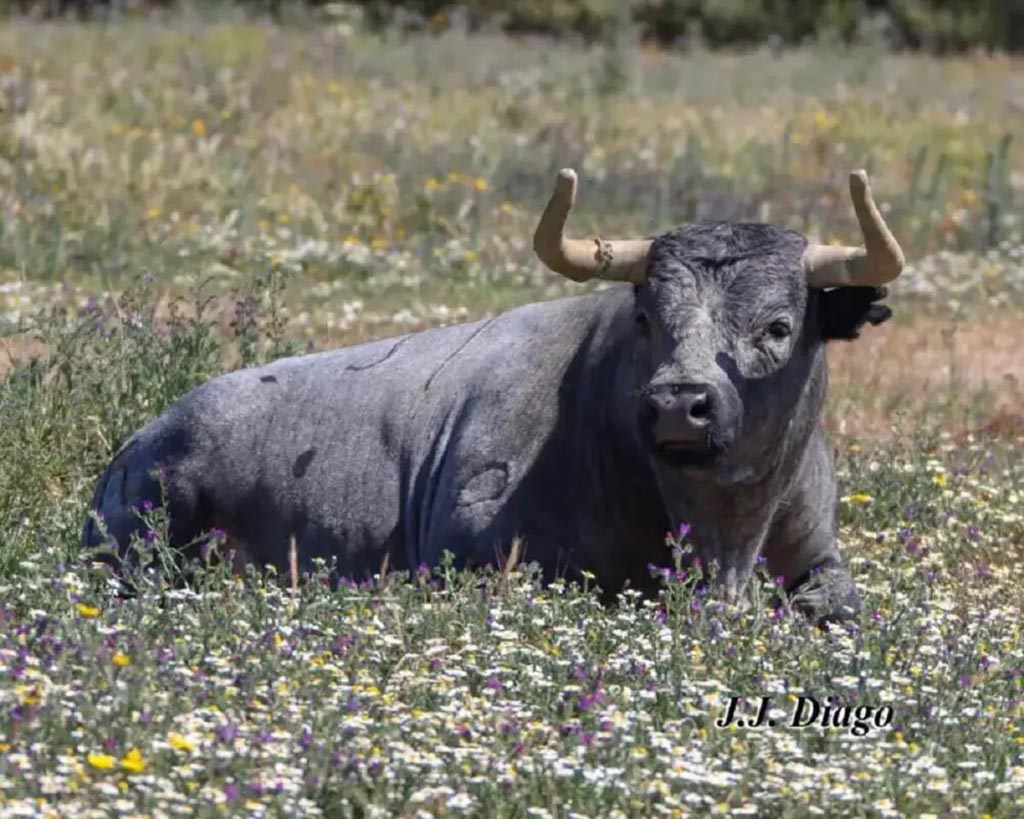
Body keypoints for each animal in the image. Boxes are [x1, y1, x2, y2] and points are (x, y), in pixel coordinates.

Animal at [86, 169, 905, 622]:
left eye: (778, 325)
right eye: (647, 317)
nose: (678, 402)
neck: (721, 533)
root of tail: (138, 443)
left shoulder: (818, 554)